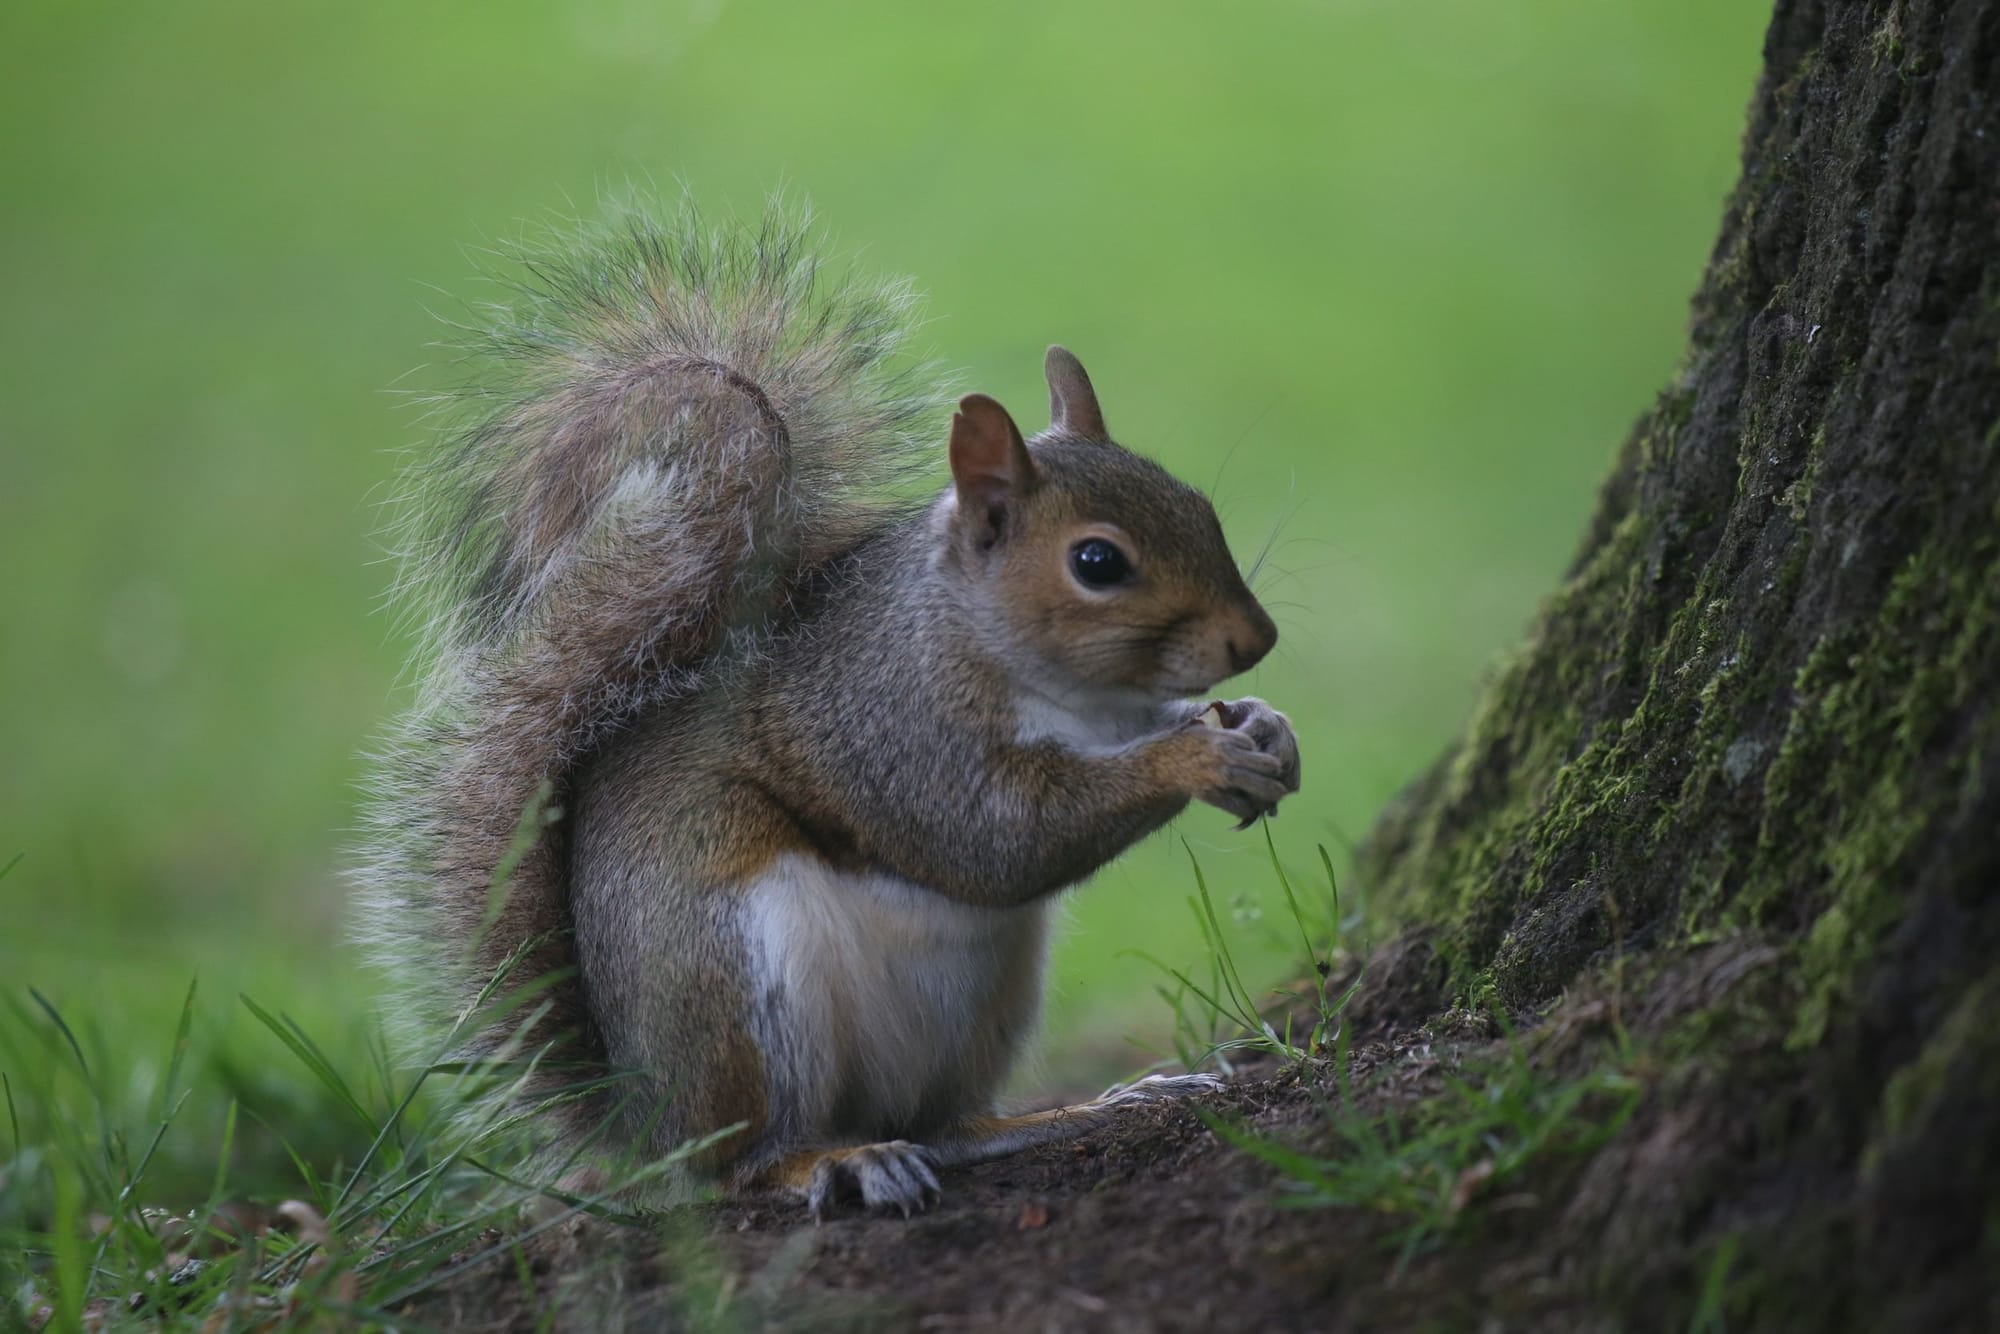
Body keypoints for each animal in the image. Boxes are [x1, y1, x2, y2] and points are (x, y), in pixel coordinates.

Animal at [356, 204, 1296, 1216]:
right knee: (739, 1163)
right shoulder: (893, 727)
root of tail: (643, 1117)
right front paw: (1194, 759)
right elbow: (998, 840)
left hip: (985, 1007)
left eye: (1199, 505)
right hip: (739, 991)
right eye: (1097, 563)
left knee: (944, 1126)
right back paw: (835, 1161)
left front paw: (1263, 728)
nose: (1256, 639)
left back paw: (1073, 1111)